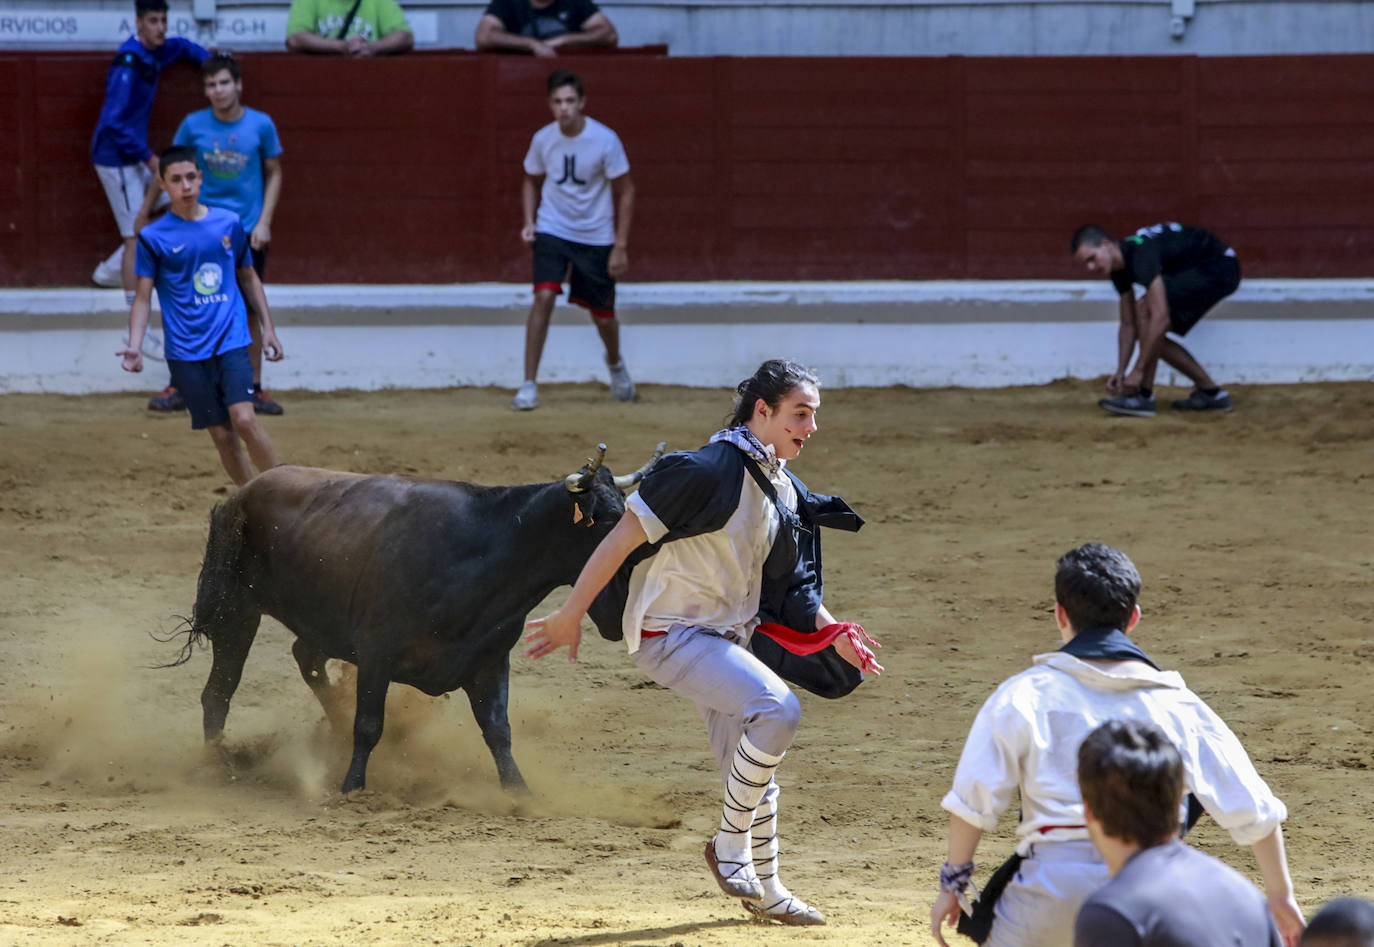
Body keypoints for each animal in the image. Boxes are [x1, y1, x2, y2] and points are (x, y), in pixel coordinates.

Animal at [166, 442, 659, 791]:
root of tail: (242, 493)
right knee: (219, 691)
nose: (620, 613)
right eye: (605, 519)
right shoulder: (376, 651)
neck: (482, 552)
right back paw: (217, 765)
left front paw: (519, 792)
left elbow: (498, 731)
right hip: (235, 610)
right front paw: (353, 787)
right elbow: (369, 725)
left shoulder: (490, 660)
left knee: (305, 657)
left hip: (317, 620)